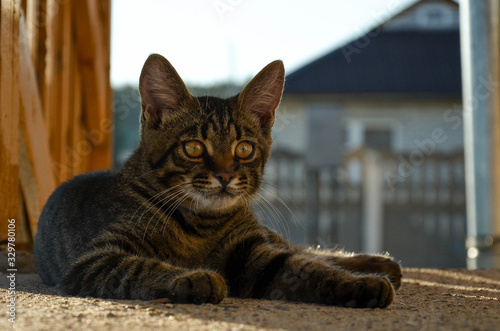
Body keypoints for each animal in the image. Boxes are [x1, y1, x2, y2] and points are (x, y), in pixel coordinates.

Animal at [34, 53, 402, 308]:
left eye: (244, 148)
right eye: (194, 147)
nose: (225, 175)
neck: (201, 226)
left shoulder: (254, 253)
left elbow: (307, 266)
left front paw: (360, 284)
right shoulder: (94, 261)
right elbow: (141, 268)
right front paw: (194, 278)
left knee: (301, 249)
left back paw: (377, 265)